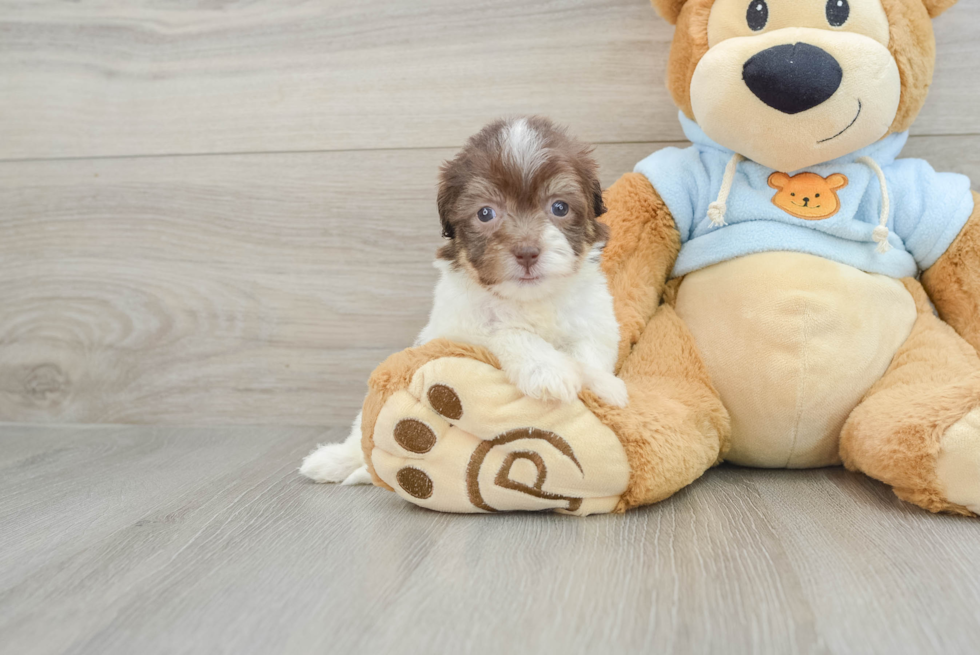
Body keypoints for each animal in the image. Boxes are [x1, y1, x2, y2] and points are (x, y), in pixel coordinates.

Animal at [300, 116, 628, 486]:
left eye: (560, 207)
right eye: (485, 213)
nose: (527, 252)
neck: (527, 300)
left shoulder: (594, 322)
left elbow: (589, 356)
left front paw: (605, 388)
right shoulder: (457, 330)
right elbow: (506, 331)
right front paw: (548, 370)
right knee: (360, 434)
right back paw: (332, 460)